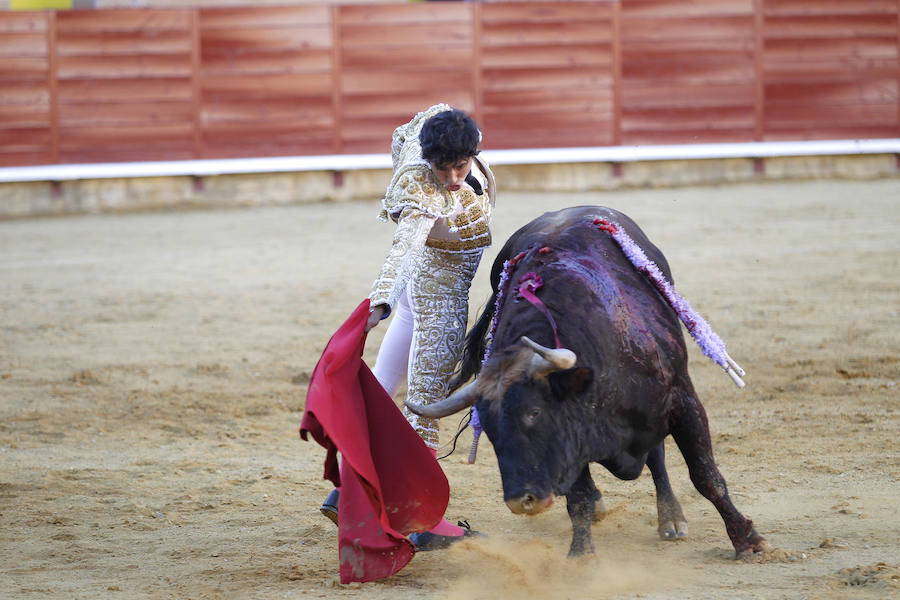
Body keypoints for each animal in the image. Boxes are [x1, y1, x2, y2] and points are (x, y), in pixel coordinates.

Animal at [408, 205, 768, 556]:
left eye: (534, 412)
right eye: (488, 428)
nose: (522, 501)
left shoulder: (682, 401)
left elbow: (705, 475)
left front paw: (747, 540)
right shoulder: (572, 432)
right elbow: (577, 497)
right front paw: (581, 555)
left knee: (659, 458)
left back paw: (671, 518)